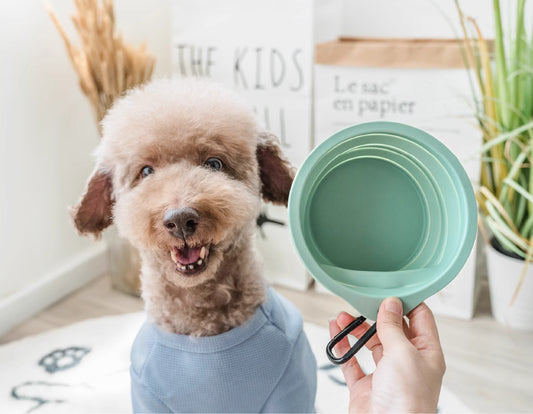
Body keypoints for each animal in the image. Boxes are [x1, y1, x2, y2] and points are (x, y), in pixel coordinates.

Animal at [72, 78, 318, 414]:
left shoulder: (290, 386)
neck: (204, 326)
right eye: (146, 171)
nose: (180, 219)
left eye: (214, 163)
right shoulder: (148, 396)